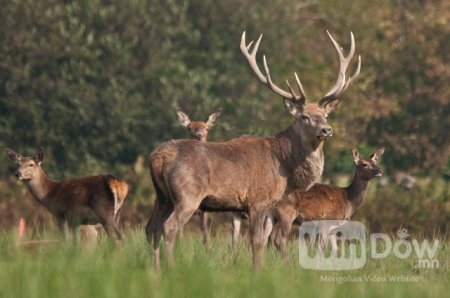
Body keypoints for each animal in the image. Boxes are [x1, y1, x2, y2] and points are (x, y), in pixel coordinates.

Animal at [174, 106, 221, 246]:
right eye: (189, 128)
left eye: (206, 128)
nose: (199, 136)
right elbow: (180, 234)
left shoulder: (204, 210)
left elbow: (206, 235)